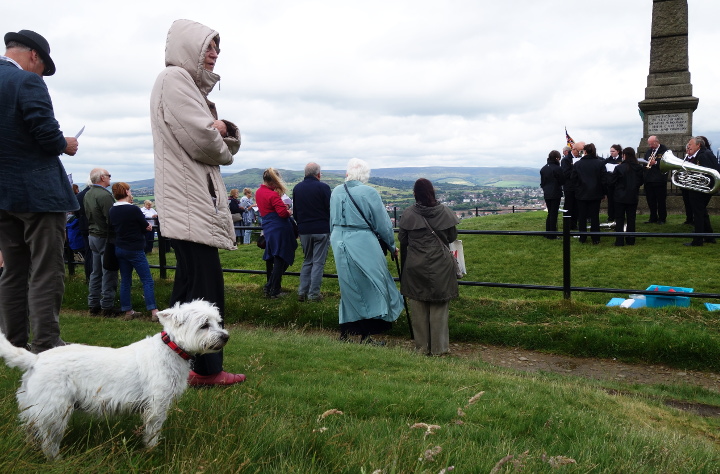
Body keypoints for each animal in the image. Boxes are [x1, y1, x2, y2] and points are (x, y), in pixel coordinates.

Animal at [0, 300, 228, 460]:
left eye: (218, 322)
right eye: (204, 325)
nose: (225, 336)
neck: (172, 349)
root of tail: (35, 359)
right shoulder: (157, 404)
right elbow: (153, 430)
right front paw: (152, 450)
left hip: (34, 406)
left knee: (31, 429)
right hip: (55, 408)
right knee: (48, 441)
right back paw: (57, 460)